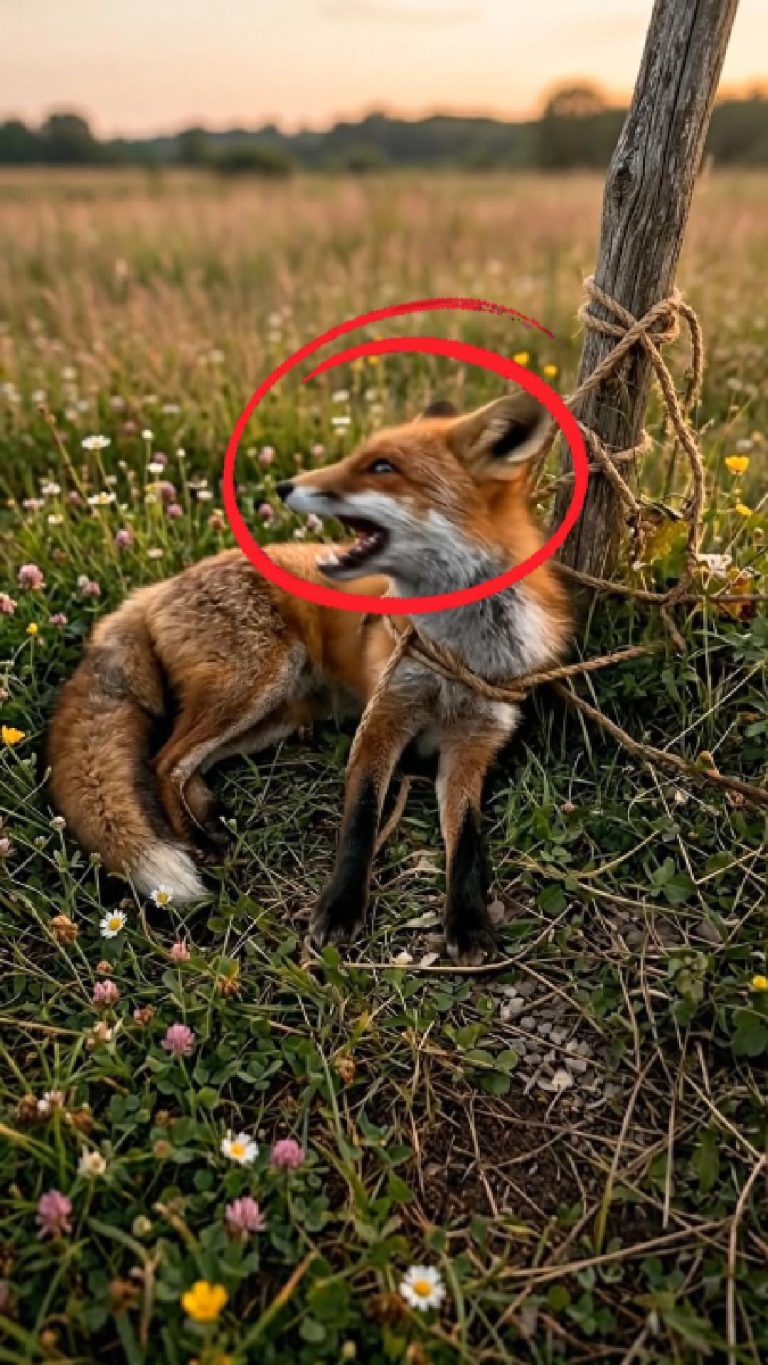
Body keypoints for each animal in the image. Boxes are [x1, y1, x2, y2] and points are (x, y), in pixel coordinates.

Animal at [48, 391, 570, 963]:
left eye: (382, 467)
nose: (283, 486)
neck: (458, 654)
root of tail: (155, 587)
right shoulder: (382, 720)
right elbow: (360, 822)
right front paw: (339, 909)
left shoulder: (474, 744)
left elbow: (469, 841)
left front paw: (470, 921)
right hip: (256, 682)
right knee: (166, 760)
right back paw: (198, 842)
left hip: (273, 716)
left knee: (189, 763)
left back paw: (210, 819)